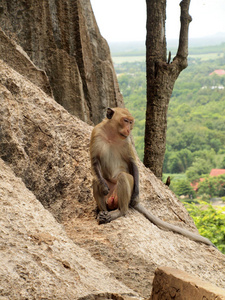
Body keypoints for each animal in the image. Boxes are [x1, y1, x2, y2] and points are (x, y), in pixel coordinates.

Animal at [90, 106, 216, 247]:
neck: (112, 133)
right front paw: (103, 186)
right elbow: (95, 161)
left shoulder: (127, 141)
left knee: (123, 177)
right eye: (125, 120)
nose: (129, 129)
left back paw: (119, 212)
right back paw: (102, 212)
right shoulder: (96, 132)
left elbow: (132, 163)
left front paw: (136, 195)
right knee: (96, 181)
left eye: (130, 122)